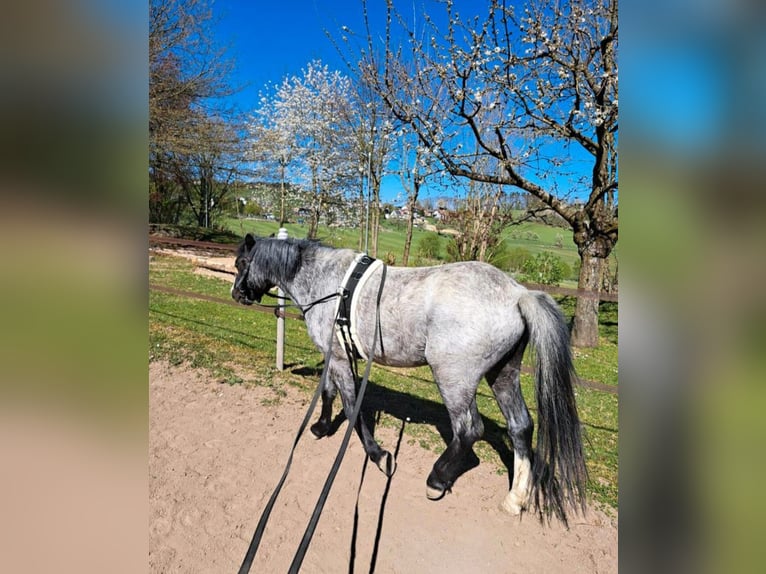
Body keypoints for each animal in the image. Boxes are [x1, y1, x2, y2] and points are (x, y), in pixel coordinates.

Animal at [231, 234, 587, 523]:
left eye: (241, 263)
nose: (236, 294)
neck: (328, 285)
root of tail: (517, 294)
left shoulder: (341, 359)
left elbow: (351, 404)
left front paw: (377, 455)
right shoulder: (336, 354)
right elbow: (330, 393)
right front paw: (320, 427)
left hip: (454, 380)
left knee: (469, 430)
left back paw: (438, 478)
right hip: (503, 375)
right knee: (521, 427)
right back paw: (516, 498)